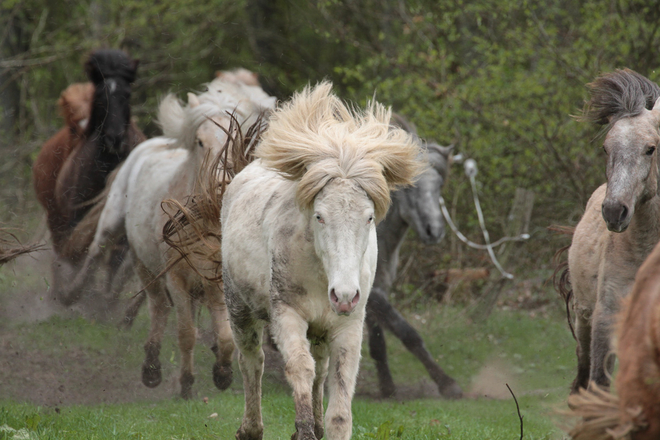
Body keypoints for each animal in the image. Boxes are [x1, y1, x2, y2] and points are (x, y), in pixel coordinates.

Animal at [66, 75, 274, 398]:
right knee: (127, 278)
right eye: (200, 141)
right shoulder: (176, 276)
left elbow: (225, 334)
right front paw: (186, 383)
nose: (219, 183)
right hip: (128, 240)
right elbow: (186, 332)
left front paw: (222, 373)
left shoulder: (214, 279)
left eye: (234, 142)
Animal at [223, 82, 422, 440]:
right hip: (239, 309)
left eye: (369, 217)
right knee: (252, 361)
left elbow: (339, 397)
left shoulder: (348, 325)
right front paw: (302, 430)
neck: (321, 272)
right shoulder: (287, 316)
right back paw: (251, 429)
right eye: (319, 216)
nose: (343, 295)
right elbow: (300, 368)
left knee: (320, 366)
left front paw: (322, 425)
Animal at [366, 114, 464, 398]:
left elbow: (378, 340)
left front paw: (387, 386)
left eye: (439, 185)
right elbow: (406, 331)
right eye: (409, 186)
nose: (434, 231)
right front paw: (446, 382)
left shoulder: (378, 287)